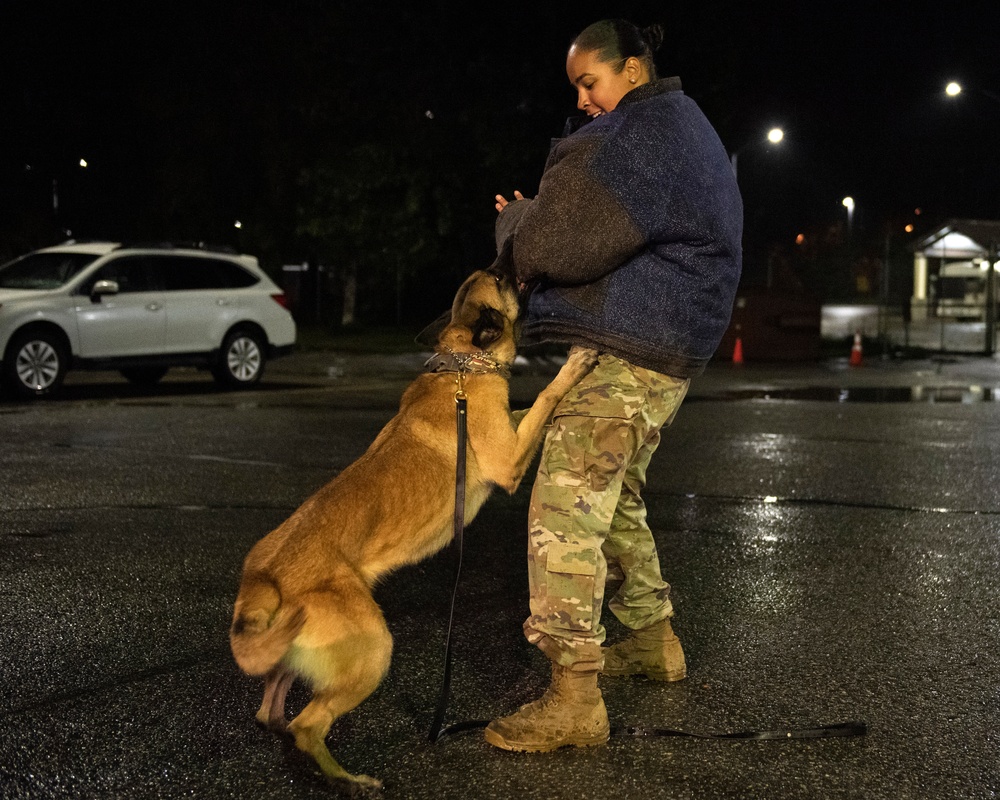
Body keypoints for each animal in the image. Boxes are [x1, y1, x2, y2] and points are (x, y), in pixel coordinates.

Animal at [230, 266, 596, 792]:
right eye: (500, 279)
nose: (512, 265)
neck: (463, 362)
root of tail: (262, 575)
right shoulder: (508, 461)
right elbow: (545, 398)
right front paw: (574, 366)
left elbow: (527, 410)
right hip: (374, 650)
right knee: (307, 725)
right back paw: (349, 781)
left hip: (295, 656)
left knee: (271, 711)